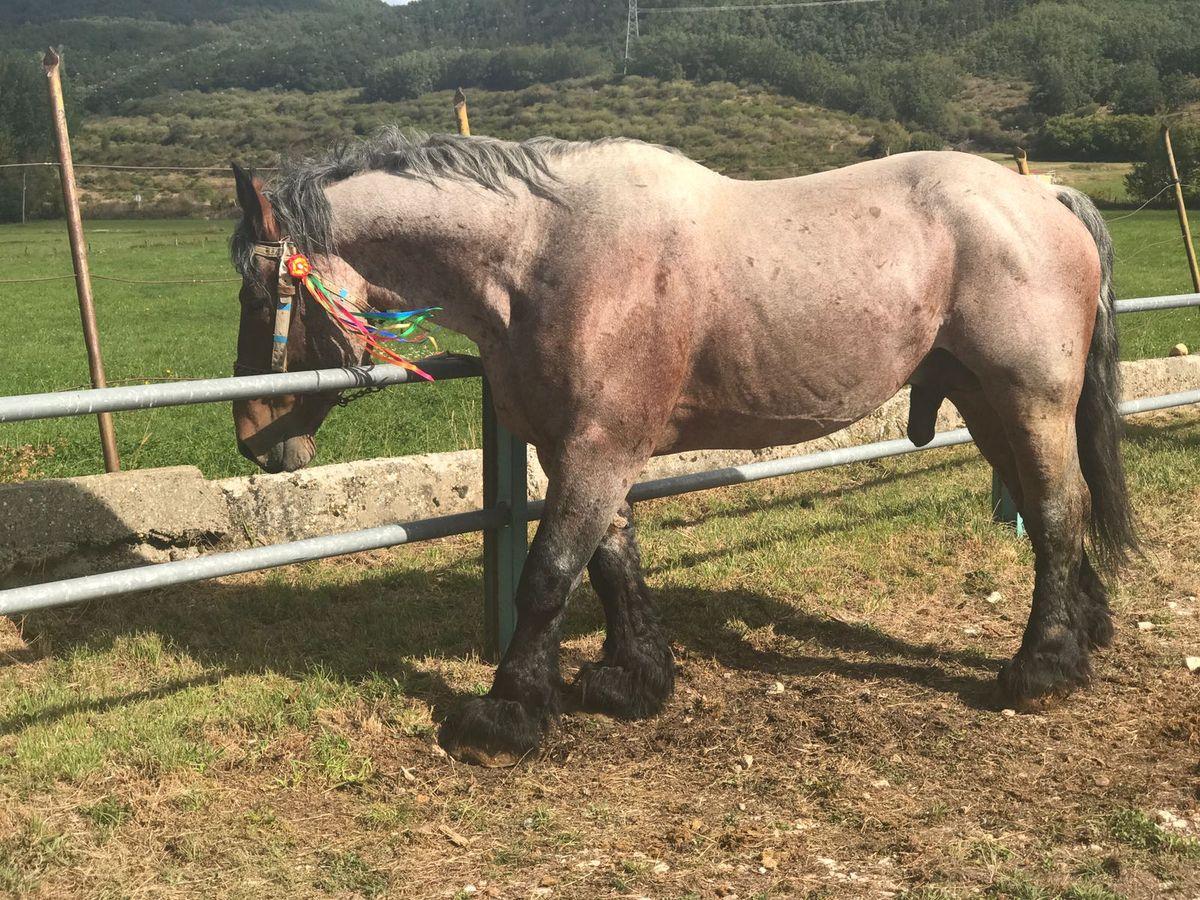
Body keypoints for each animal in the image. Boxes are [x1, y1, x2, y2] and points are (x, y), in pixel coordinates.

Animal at [229, 132, 1137, 768]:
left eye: (257, 293)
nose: (250, 440)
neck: (546, 253)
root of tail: (1047, 193)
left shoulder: (598, 447)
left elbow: (549, 576)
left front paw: (505, 715)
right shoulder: (581, 449)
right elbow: (612, 563)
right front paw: (632, 679)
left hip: (1029, 401)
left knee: (1058, 510)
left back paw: (1040, 668)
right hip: (986, 405)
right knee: (1052, 512)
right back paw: (1083, 632)